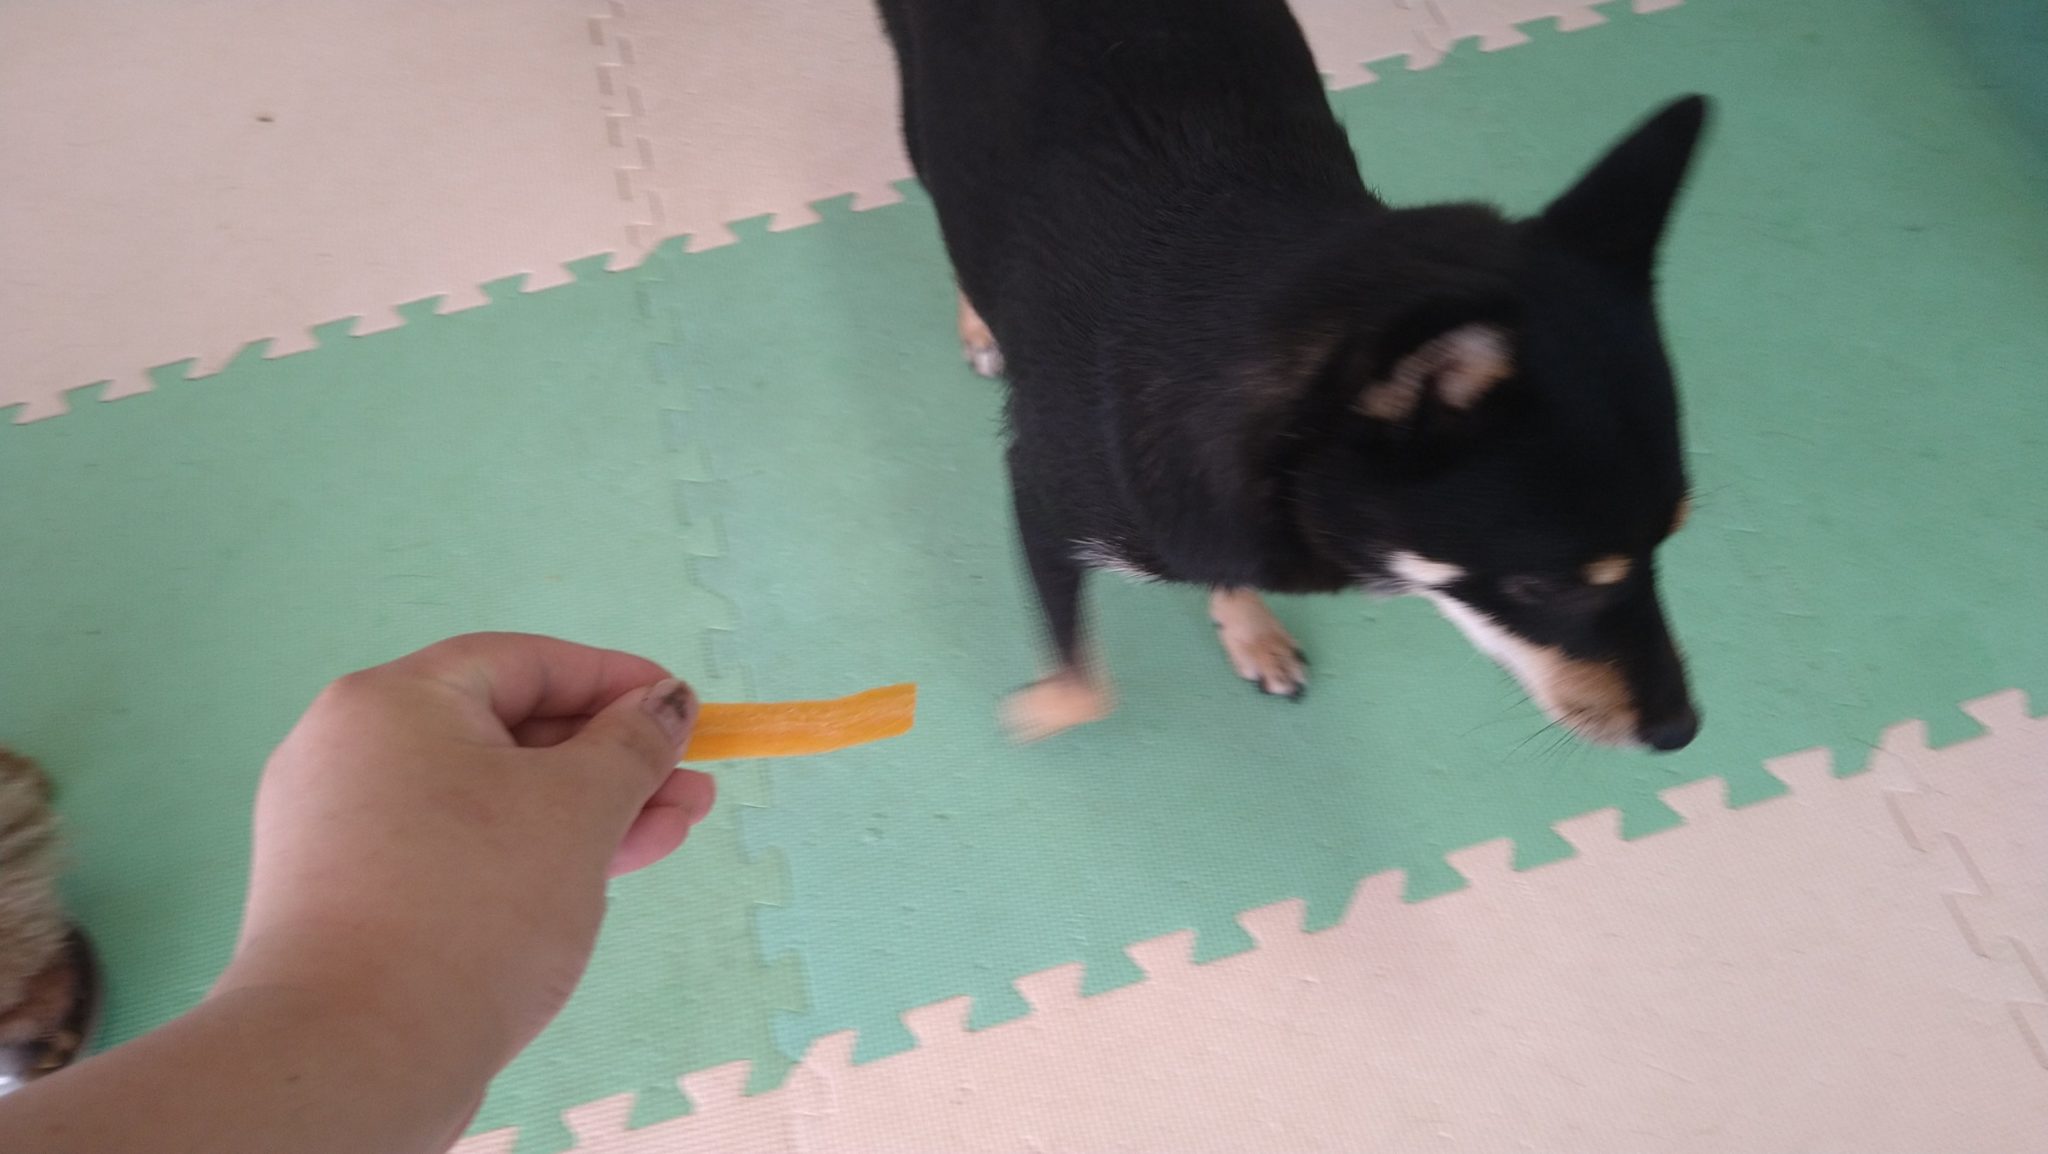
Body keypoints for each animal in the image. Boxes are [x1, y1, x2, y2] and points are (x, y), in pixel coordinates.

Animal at [877, 0, 1707, 751]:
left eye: (1674, 535)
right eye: (1546, 586)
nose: (1682, 730)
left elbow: (1216, 563)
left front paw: (1248, 630)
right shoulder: (1043, 503)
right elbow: (1085, 685)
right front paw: (1042, 709)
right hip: (923, 115)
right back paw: (981, 324)